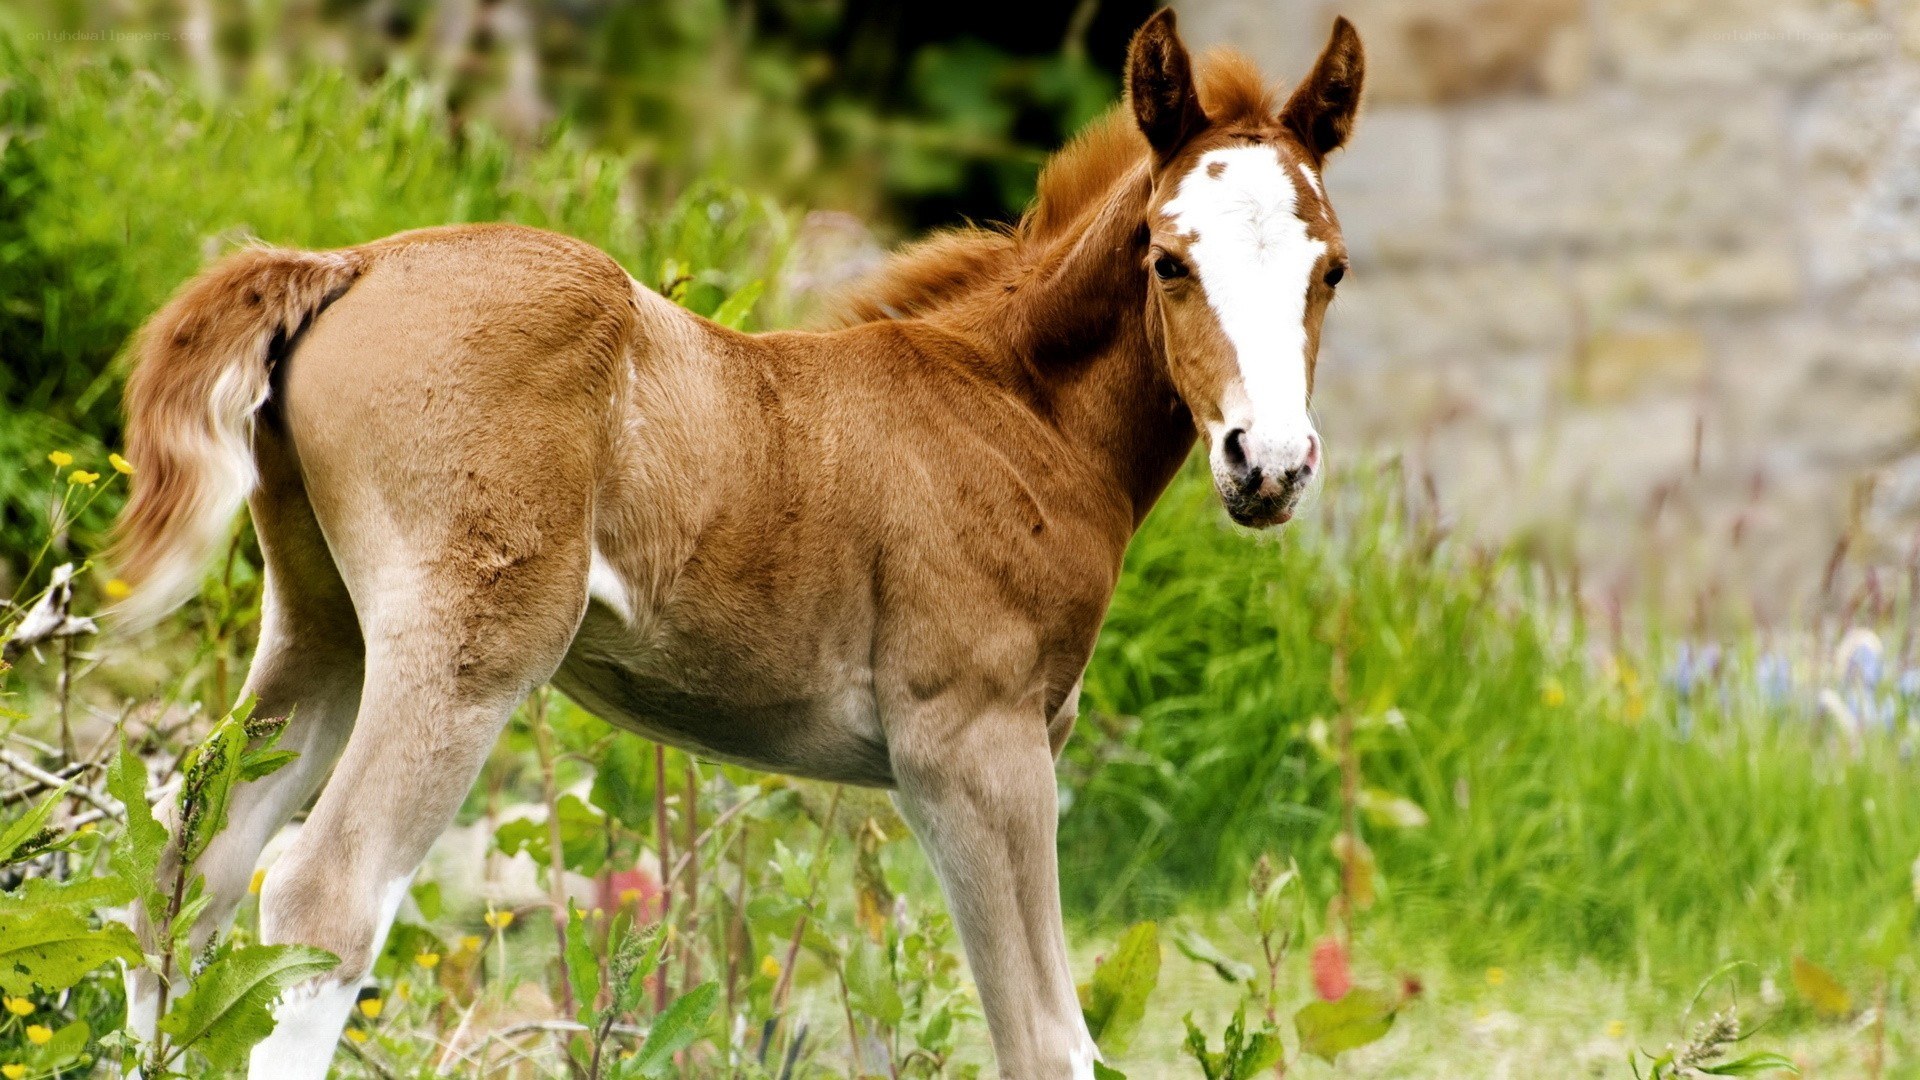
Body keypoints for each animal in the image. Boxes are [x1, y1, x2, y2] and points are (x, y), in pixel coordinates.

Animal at [110, 10, 1363, 1077]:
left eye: (1332, 268)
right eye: (1169, 258)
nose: (1268, 464)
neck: (1016, 411)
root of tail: (352, 263)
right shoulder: (973, 749)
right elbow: (1048, 1041)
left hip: (321, 625)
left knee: (188, 872)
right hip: (466, 644)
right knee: (321, 897)